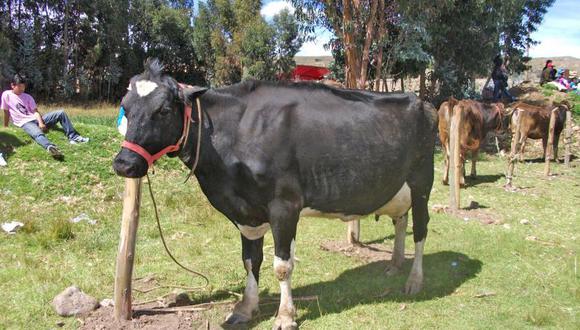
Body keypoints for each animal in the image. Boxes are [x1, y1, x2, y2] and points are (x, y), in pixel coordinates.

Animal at [113, 60, 438, 328]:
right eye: (125, 108)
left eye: (164, 110)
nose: (124, 163)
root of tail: (422, 102)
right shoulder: (247, 212)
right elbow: (250, 260)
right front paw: (246, 308)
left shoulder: (285, 205)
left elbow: (282, 266)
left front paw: (285, 316)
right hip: (398, 188)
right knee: (401, 220)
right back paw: (395, 265)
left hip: (422, 182)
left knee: (421, 229)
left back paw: (415, 280)